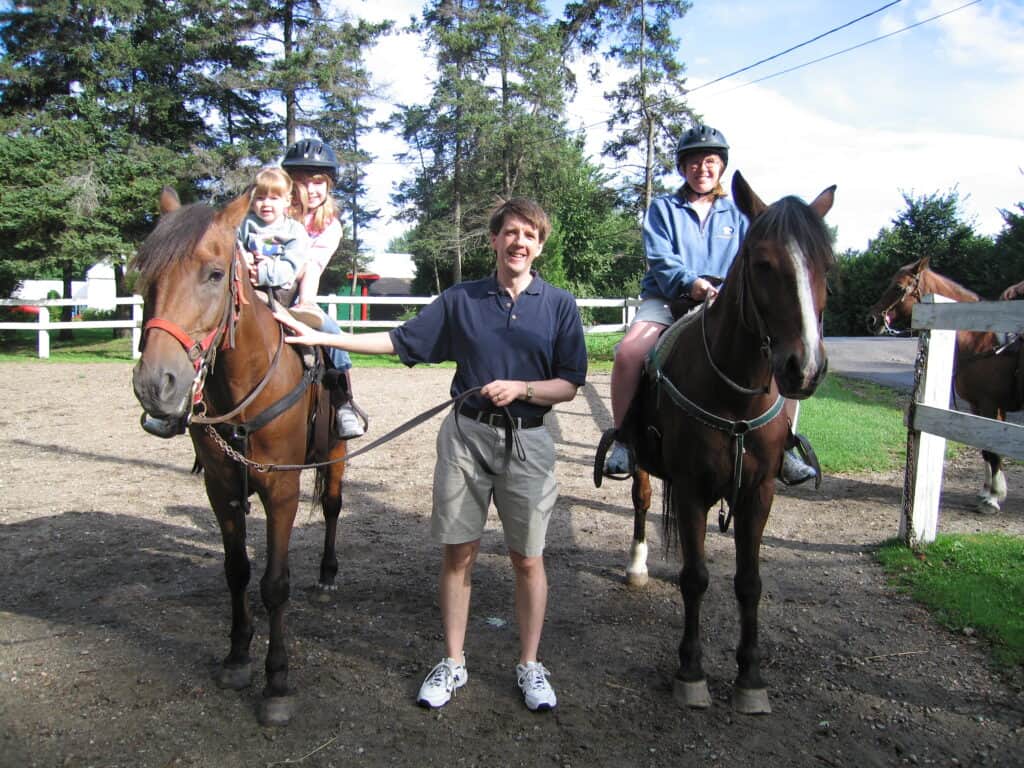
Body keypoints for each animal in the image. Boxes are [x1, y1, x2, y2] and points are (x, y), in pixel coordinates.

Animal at [131, 188, 348, 729]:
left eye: (213, 273)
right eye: (146, 275)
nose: (154, 384)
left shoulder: (281, 489)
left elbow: (275, 584)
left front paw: (277, 682)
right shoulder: (223, 488)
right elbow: (237, 571)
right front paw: (235, 657)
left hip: (335, 453)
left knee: (333, 507)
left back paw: (328, 576)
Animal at [606, 173, 831, 716]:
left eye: (826, 266)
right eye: (763, 263)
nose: (805, 368)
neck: (735, 397)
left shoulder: (758, 493)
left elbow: (749, 583)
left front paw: (750, 678)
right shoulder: (690, 490)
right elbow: (696, 578)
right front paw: (690, 672)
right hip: (644, 465)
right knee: (642, 502)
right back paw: (637, 566)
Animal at [864, 259, 1024, 518]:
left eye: (899, 287)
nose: (872, 320)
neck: (981, 341)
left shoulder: (989, 404)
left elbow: (992, 450)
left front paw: (992, 498)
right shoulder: (979, 406)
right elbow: (986, 448)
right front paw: (988, 491)